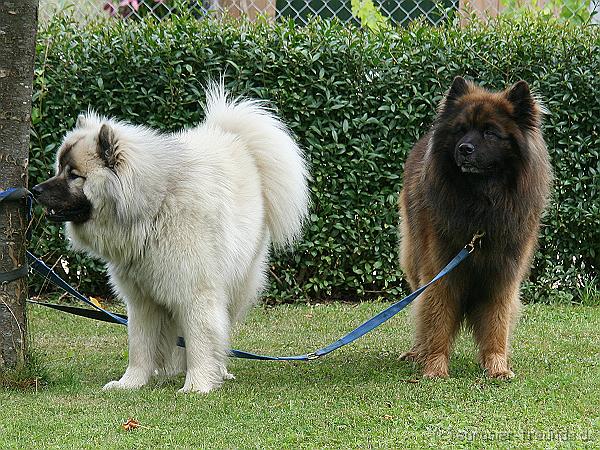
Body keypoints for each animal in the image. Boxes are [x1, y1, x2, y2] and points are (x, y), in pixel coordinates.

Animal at [32, 86, 310, 392]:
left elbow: (201, 340)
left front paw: (197, 385)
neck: (154, 206)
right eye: (58, 169)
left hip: (236, 281)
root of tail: (233, 138)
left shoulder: (195, 292)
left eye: (74, 175)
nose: (35, 190)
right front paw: (131, 383)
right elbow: (139, 346)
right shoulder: (141, 300)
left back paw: (217, 370)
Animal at [400, 78, 552, 380]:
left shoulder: (503, 278)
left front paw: (497, 366)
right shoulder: (441, 273)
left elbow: (496, 324)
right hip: (414, 259)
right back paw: (418, 352)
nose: (464, 148)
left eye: (490, 133)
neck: (482, 204)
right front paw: (435, 367)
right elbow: (437, 321)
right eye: (461, 130)